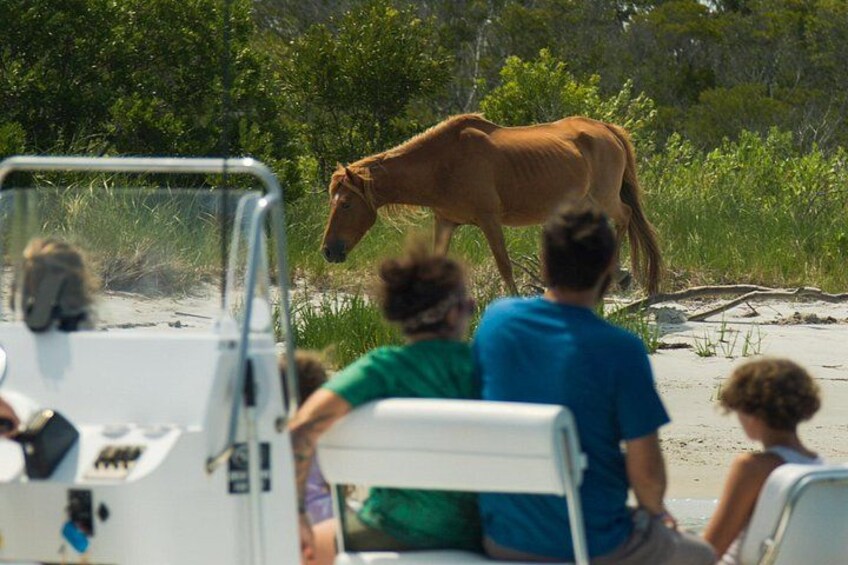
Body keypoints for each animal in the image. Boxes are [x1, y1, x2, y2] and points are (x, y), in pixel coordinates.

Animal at [320, 114, 662, 295]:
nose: (328, 251)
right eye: (331, 202)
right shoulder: (445, 222)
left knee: (625, 216)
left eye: (346, 204)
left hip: (605, 198)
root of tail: (607, 129)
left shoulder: (488, 220)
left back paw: (619, 275)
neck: (442, 164)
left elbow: (504, 266)